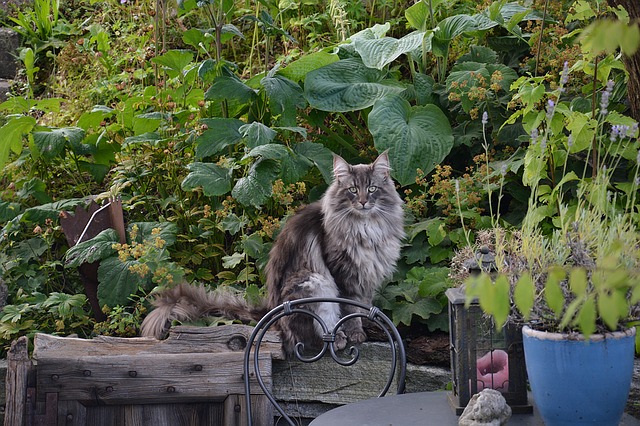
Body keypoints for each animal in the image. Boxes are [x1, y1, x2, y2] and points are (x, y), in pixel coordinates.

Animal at [142, 151, 408, 354]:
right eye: (353, 190)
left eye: (371, 189)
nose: (362, 201)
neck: (366, 228)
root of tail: (271, 311)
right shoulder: (343, 274)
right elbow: (350, 310)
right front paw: (354, 334)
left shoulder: (367, 276)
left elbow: (362, 307)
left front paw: (365, 330)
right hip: (315, 282)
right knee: (308, 338)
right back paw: (337, 339)